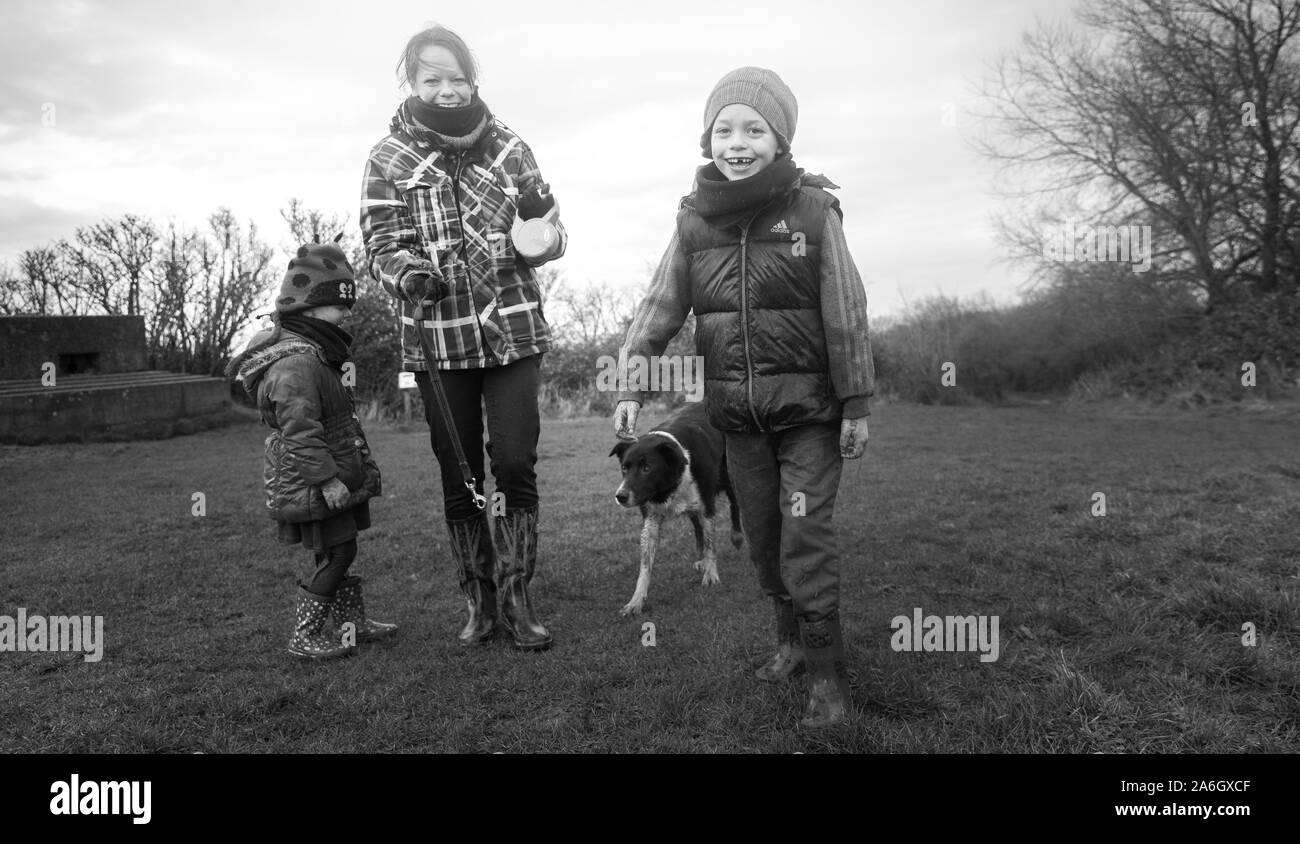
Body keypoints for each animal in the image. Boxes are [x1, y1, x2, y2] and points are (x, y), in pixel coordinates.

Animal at [608, 400, 743, 611]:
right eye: (624, 467)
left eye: (647, 468)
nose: (620, 496)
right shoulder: (651, 519)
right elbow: (645, 565)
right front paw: (636, 601)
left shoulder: (707, 505)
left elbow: (711, 543)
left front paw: (711, 575)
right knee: (697, 526)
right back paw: (701, 559)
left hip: (729, 475)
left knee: (734, 505)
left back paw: (736, 537)